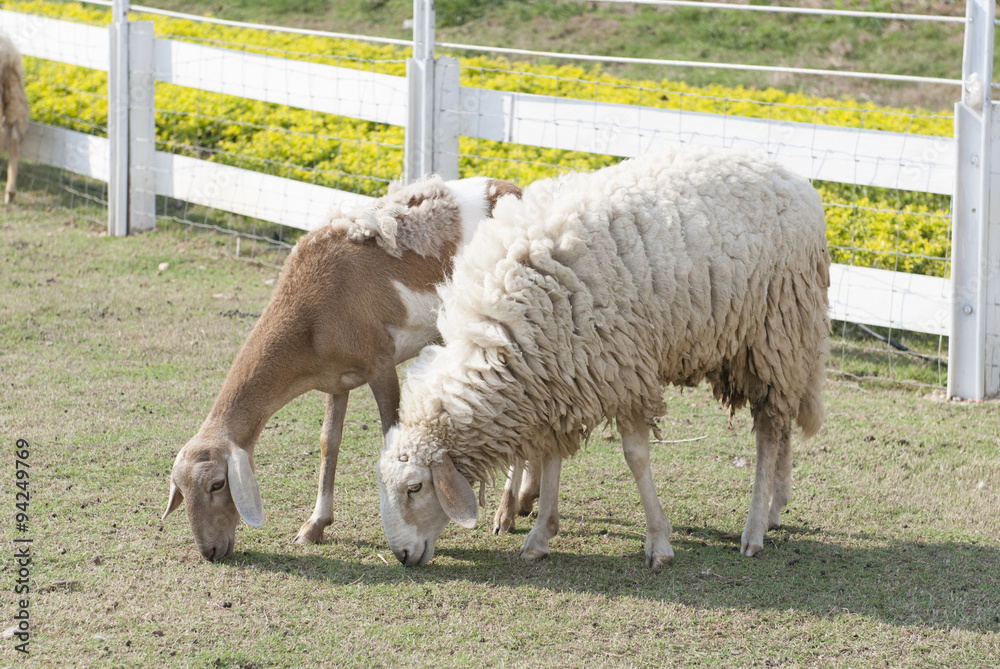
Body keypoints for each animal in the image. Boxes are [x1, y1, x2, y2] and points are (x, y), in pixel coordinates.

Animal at [162, 175, 521, 561]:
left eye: (217, 484)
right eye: (180, 488)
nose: (210, 551)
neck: (309, 316)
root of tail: (518, 190)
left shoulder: (380, 364)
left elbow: (390, 438)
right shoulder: (336, 379)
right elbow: (328, 442)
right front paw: (314, 525)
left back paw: (507, 512)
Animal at [376, 147, 830, 568]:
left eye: (415, 487)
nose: (401, 555)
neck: (499, 328)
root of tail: (792, 175)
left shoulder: (623, 369)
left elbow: (635, 458)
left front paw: (658, 542)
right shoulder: (557, 375)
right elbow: (551, 455)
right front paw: (540, 535)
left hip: (774, 330)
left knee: (769, 432)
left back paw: (754, 530)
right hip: (764, 346)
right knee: (782, 421)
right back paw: (774, 509)